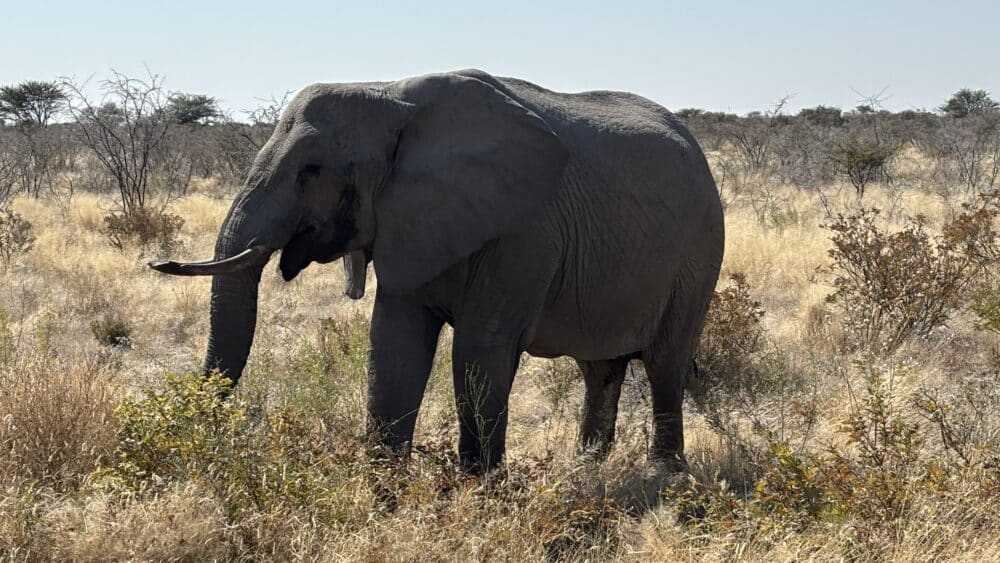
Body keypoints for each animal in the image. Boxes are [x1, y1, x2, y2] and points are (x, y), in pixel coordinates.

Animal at [150, 69, 724, 474]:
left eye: (311, 171)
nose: (159, 262)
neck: (387, 92)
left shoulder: (524, 229)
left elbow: (479, 348)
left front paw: (480, 490)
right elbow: (394, 341)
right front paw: (386, 488)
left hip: (700, 250)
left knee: (666, 362)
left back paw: (663, 475)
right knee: (599, 366)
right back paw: (587, 467)